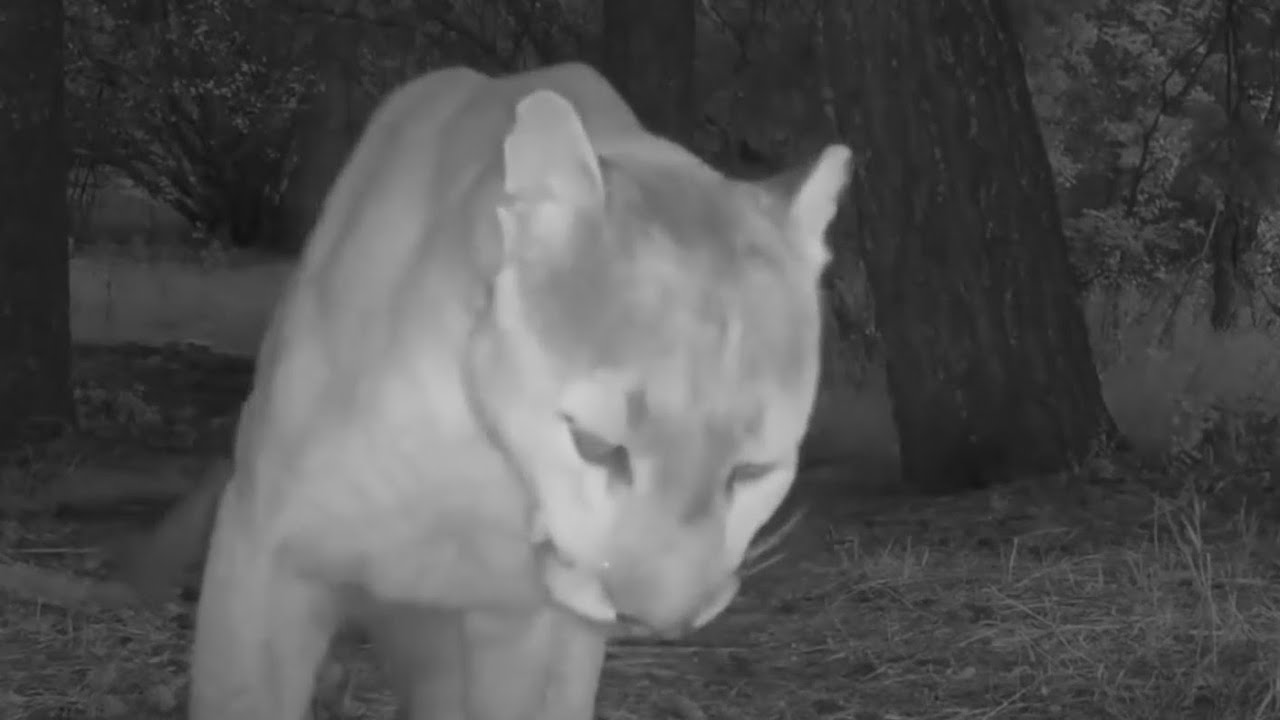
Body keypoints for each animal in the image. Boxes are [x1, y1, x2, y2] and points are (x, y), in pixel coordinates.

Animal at [151, 62, 849, 720]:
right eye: (595, 445)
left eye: (754, 471)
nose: (658, 619)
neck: (478, 465)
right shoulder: (263, 550)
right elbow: (237, 696)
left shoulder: (523, 628)